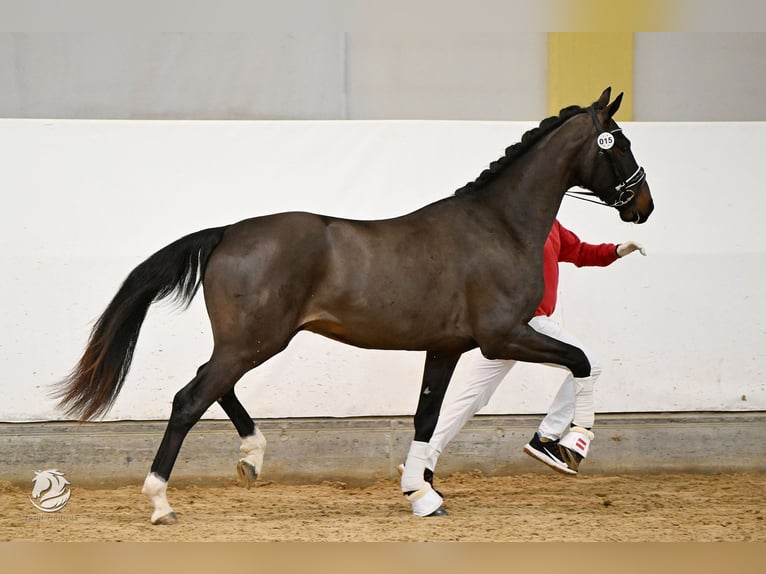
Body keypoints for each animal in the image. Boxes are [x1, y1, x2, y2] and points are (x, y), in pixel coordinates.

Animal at [55, 88, 656, 524]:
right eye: (619, 141)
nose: (644, 207)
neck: (499, 226)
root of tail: (227, 232)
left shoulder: (447, 347)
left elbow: (428, 416)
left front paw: (422, 494)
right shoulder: (502, 336)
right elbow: (581, 361)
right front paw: (572, 446)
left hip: (247, 342)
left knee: (212, 386)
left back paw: (252, 457)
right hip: (255, 341)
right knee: (189, 399)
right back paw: (161, 501)